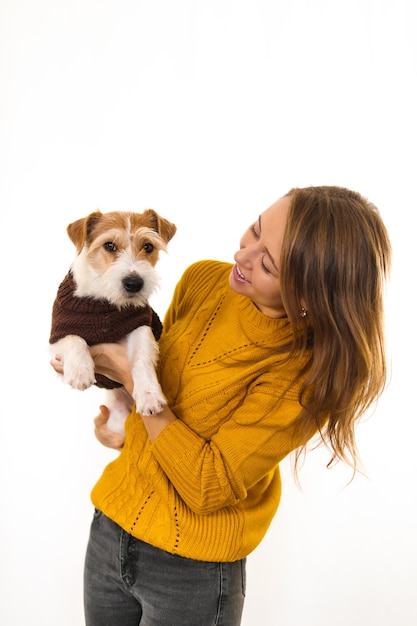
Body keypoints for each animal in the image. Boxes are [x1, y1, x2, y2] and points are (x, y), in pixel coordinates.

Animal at [50, 207, 176, 432]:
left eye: (148, 246)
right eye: (109, 245)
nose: (134, 283)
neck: (106, 300)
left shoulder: (140, 325)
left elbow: (141, 358)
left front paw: (149, 395)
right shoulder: (58, 333)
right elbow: (74, 338)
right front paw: (80, 371)